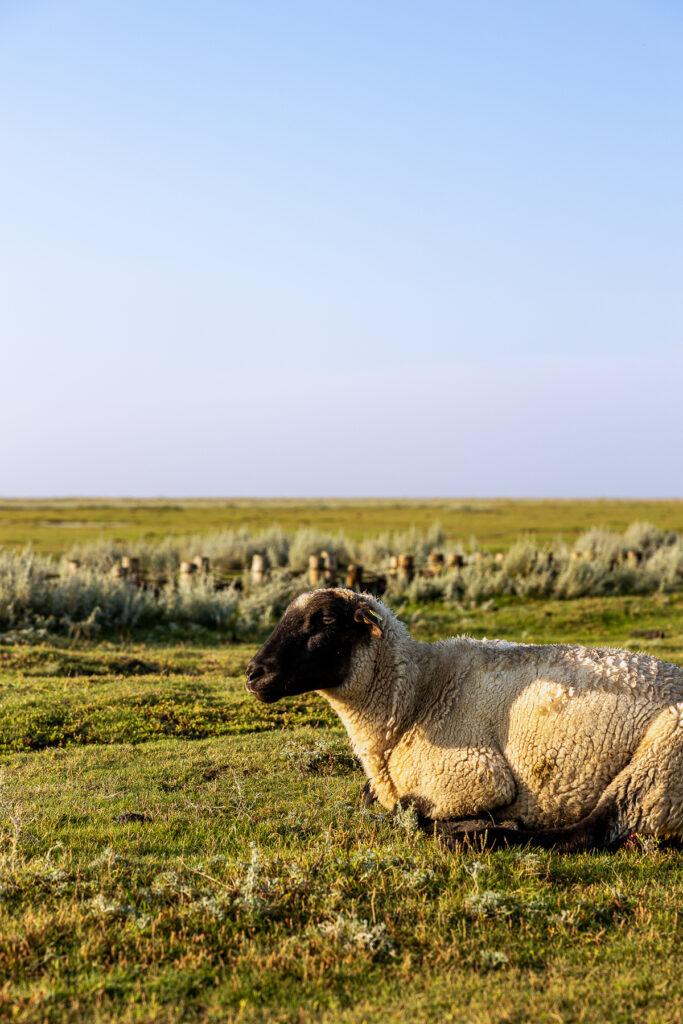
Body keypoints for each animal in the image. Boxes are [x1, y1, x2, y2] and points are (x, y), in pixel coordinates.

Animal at [245, 589, 683, 851]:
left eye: (325, 621)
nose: (253, 673)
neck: (416, 697)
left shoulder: (476, 775)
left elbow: (404, 807)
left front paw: (463, 822)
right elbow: (373, 797)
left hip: (659, 763)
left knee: (586, 832)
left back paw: (481, 833)